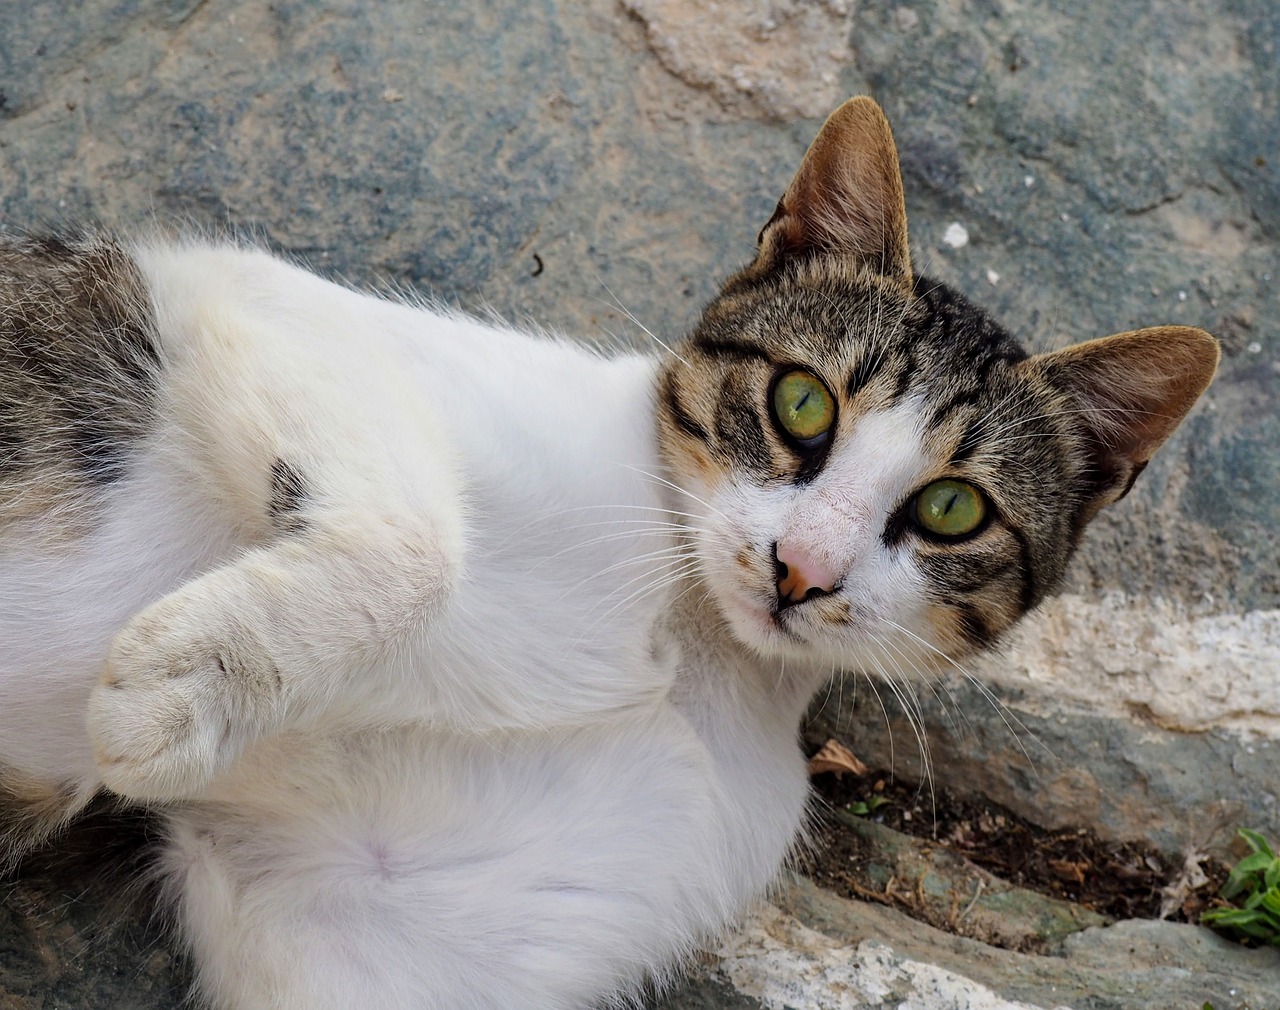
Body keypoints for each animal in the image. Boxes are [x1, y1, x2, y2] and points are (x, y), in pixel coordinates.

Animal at [0, 96, 1218, 1008]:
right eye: (800, 401)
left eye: (954, 510)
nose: (803, 568)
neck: (684, 640)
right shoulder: (248, 298)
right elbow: (420, 544)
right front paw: (178, 689)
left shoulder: (369, 915)